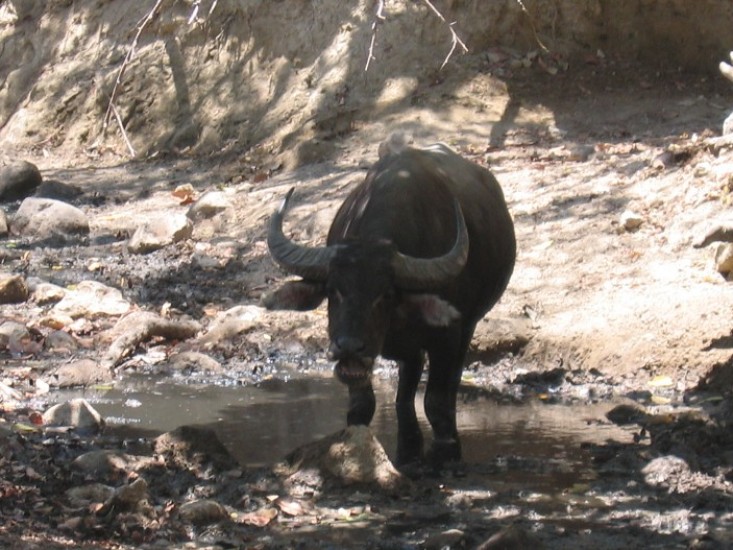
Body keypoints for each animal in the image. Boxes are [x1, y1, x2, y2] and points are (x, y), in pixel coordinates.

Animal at [264, 138, 516, 466]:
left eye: (384, 294)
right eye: (333, 291)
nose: (348, 346)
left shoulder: (448, 335)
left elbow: (436, 402)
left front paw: (445, 448)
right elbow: (362, 405)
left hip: (468, 327)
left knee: (446, 387)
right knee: (405, 390)